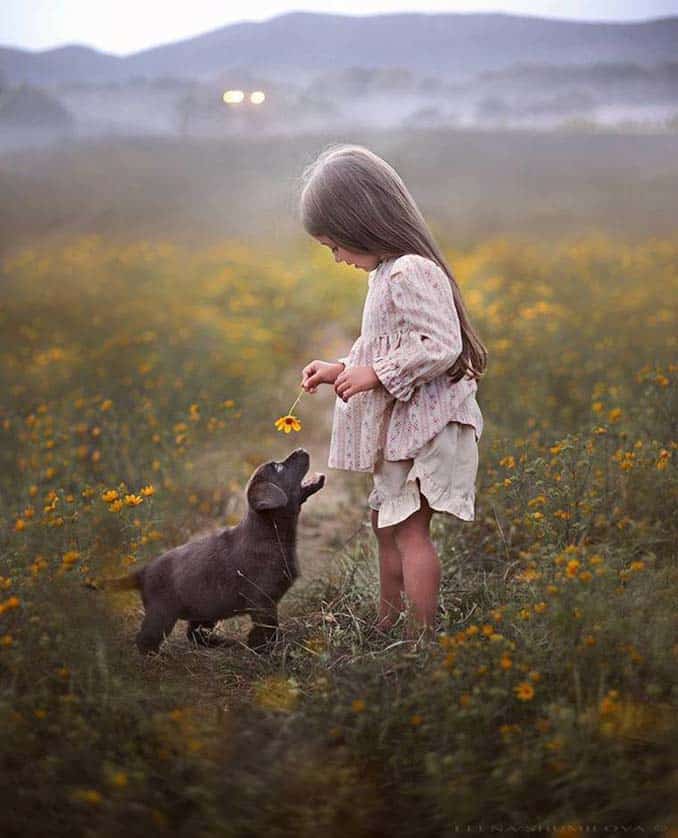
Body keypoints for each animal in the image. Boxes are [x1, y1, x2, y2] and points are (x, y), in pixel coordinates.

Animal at [101, 452, 326, 656]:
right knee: (146, 639)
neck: (272, 535)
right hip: (162, 613)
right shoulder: (262, 602)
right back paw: (156, 656)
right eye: (278, 467)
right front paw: (268, 652)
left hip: (205, 608)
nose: (301, 450)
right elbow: (267, 631)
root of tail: (143, 571)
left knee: (195, 634)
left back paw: (221, 642)